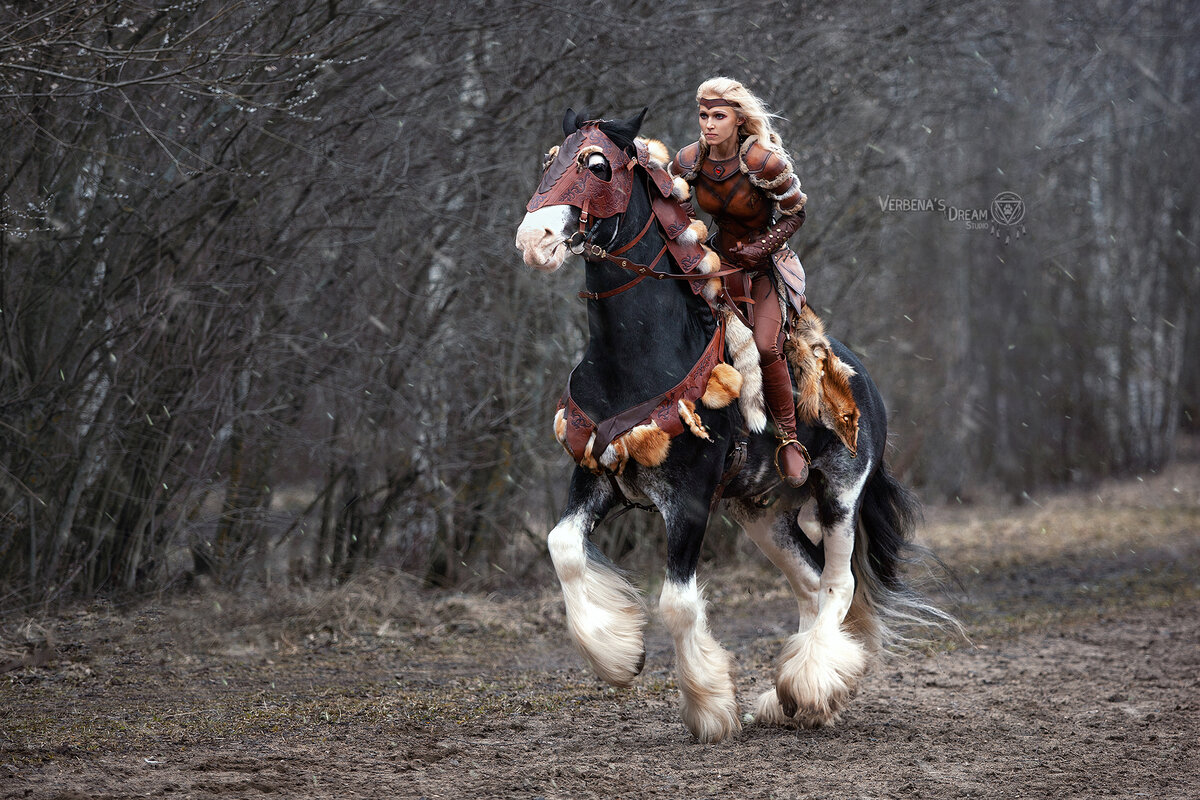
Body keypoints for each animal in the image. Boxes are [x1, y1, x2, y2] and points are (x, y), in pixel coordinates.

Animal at [516, 109, 945, 743]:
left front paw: (710, 708)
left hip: (840, 494)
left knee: (838, 584)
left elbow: (677, 603)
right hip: (762, 513)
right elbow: (563, 546)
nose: (535, 238)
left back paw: (807, 686)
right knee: (811, 584)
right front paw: (618, 655)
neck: (637, 358)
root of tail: (863, 379)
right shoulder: (595, 475)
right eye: (551, 160)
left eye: (596, 164)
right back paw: (797, 699)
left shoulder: (690, 499)